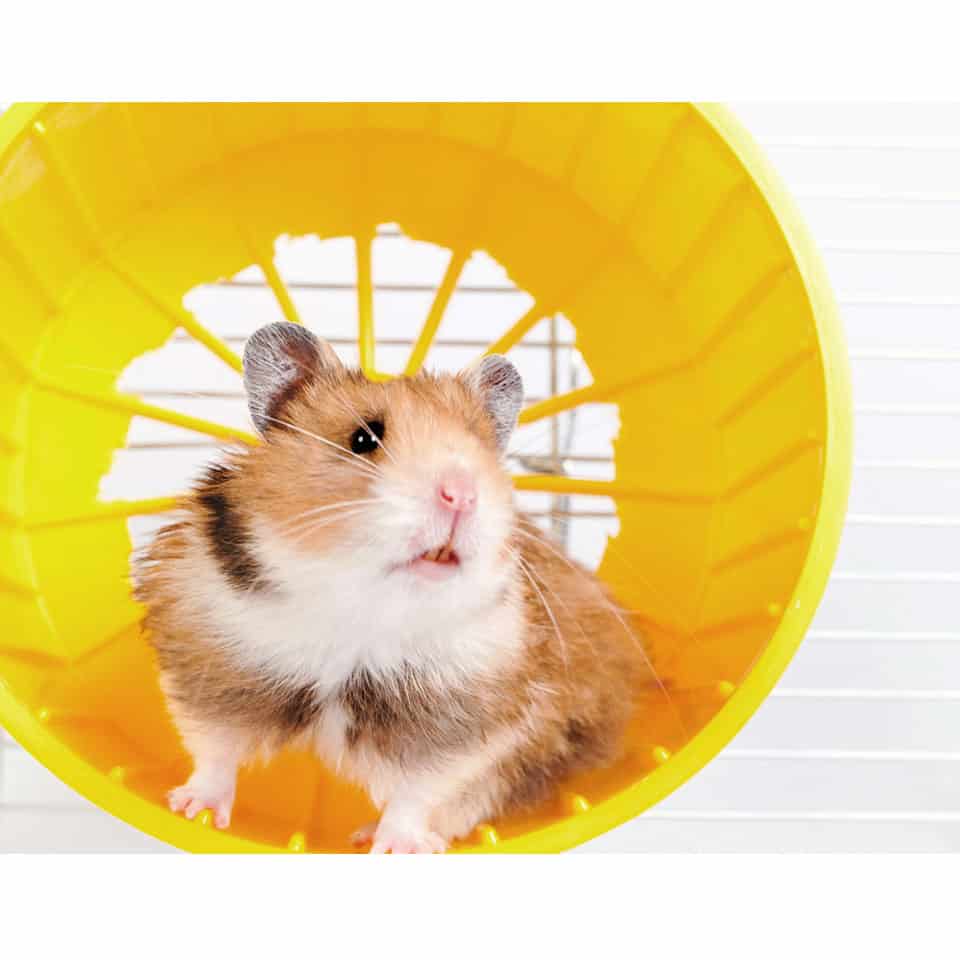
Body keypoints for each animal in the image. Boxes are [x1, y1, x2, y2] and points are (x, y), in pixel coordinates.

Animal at [135, 321, 645, 853]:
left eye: (482, 450)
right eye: (363, 438)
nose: (462, 494)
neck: (365, 606)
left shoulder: (464, 728)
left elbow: (416, 795)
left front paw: (397, 846)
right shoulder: (209, 668)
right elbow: (214, 750)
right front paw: (192, 809)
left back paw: (365, 836)